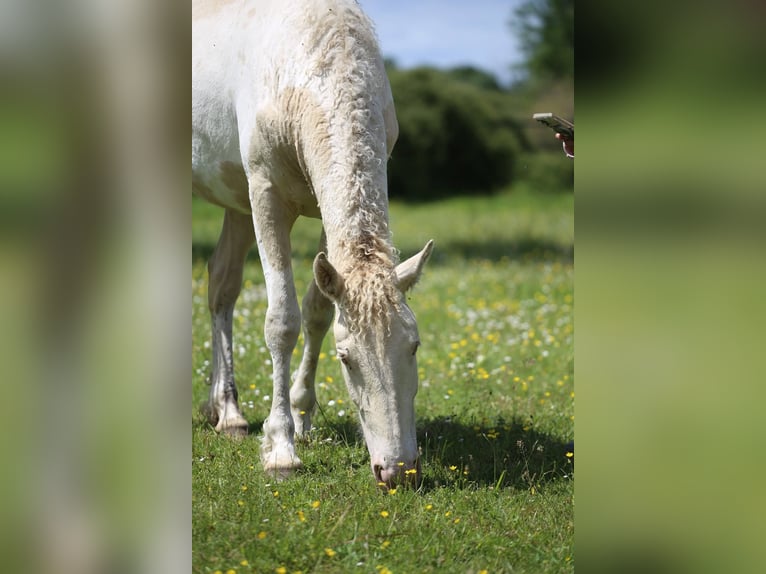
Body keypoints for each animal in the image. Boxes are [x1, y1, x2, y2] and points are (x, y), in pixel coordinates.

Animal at [192, 0, 433, 488]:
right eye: (347, 359)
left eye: (414, 346)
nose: (396, 471)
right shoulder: (265, 196)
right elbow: (282, 321)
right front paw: (281, 449)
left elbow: (317, 310)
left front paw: (302, 416)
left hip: (236, 201)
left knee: (221, 284)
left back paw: (228, 412)